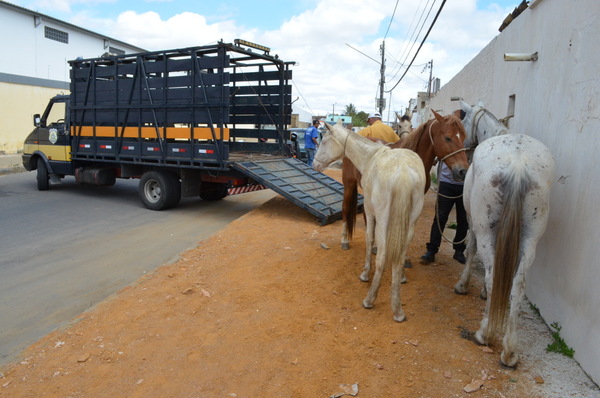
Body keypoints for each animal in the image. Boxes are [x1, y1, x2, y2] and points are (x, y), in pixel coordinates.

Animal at [314, 122, 426, 324]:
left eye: (324, 140)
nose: (315, 164)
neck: (370, 157)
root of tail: (403, 172)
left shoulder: (370, 211)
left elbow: (369, 239)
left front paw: (365, 273)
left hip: (383, 220)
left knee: (381, 256)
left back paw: (371, 299)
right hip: (411, 222)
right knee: (399, 256)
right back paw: (398, 308)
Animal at [340, 110, 472, 250]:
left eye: (463, 138)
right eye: (447, 138)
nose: (463, 171)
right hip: (349, 184)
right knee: (346, 208)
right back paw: (345, 240)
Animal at [452, 100, 556, 366]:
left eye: (462, 120)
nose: (464, 144)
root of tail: (517, 164)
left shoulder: (474, 223)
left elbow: (470, 251)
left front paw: (465, 285)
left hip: (485, 229)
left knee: (491, 273)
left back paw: (485, 333)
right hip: (531, 238)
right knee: (518, 284)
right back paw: (510, 350)